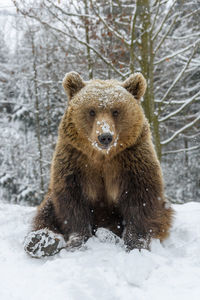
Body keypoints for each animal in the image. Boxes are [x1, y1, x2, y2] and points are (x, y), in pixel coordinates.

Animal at [23, 71, 173, 256]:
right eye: (92, 111)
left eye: (115, 111)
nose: (105, 136)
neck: (102, 156)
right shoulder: (75, 160)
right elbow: (72, 201)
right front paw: (78, 241)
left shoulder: (131, 159)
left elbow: (141, 199)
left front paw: (136, 243)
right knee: (47, 210)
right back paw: (41, 240)